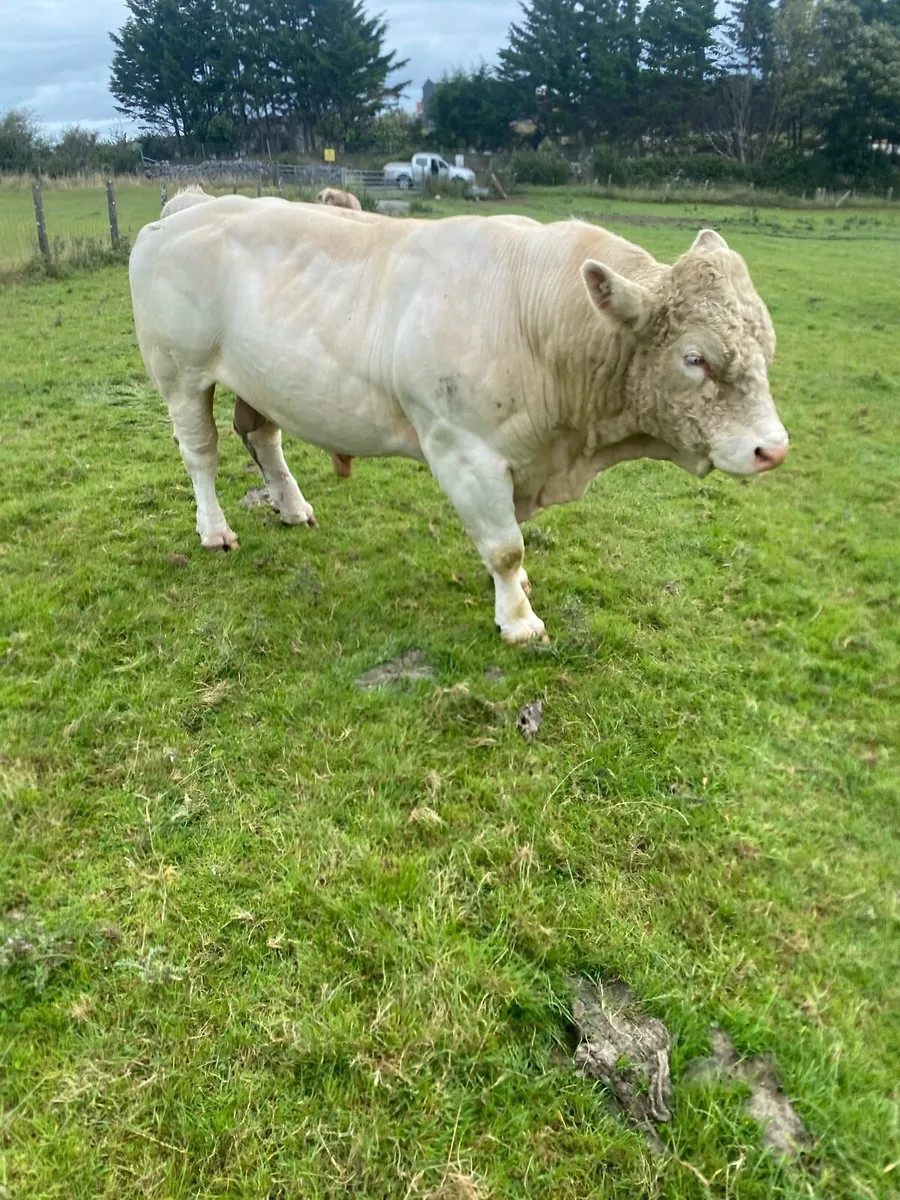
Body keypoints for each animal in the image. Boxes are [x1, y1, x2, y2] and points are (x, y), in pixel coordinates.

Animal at [129, 196, 788, 644]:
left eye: (767, 346)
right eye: (695, 358)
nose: (773, 450)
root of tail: (190, 207)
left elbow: (511, 540)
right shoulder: (461, 447)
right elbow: (504, 546)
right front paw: (519, 621)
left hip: (261, 377)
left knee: (263, 436)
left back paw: (292, 508)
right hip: (180, 371)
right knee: (201, 453)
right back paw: (215, 530)